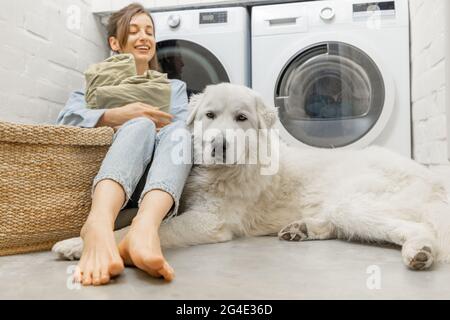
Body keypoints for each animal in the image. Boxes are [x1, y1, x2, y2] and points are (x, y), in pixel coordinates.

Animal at [53, 82, 450, 270]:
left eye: (241, 118)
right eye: (210, 115)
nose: (219, 144)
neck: (224, 170)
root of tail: (433, 180)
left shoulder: (209, 221)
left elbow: (144, 228)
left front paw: (78, 245)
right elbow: (131, 215)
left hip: (353, 202)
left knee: (417, 228)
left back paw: (421, 252)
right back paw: (300, 229)